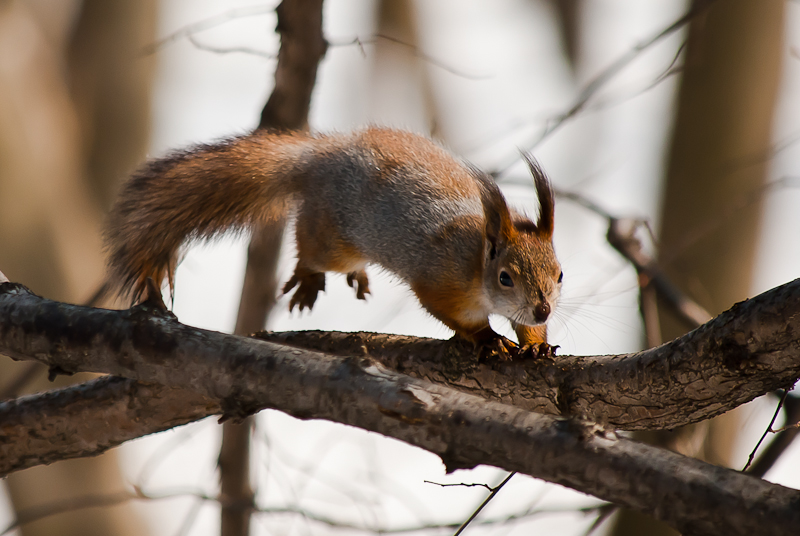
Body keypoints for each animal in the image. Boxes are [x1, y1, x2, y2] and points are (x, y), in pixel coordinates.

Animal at [104, 127, 564, 354]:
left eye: (560, 274)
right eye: (505, 277)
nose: (542, 309)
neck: (475, 259)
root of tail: (320, 157)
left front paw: (536, 346)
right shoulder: (440, 281)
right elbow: (453, 315)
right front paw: (487, 338)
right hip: (333, 238)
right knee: (310, 249)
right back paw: (308, 278)